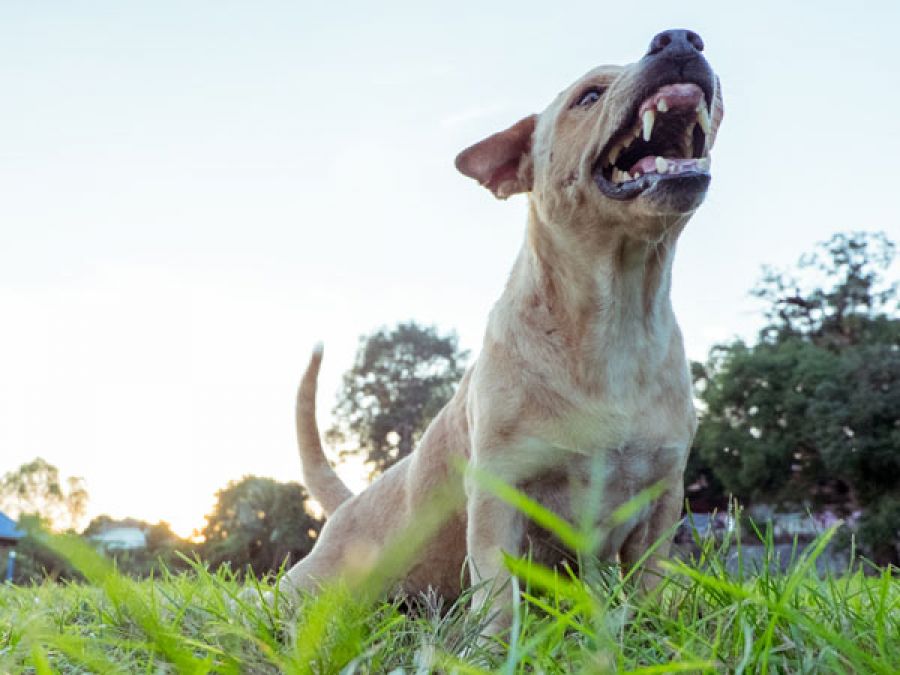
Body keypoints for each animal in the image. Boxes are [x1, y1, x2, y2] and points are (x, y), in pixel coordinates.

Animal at [282, 27, 724, 640]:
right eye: (589, 96)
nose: (679, 38)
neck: (617, 310)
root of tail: (348, 503)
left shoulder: (661, 498)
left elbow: (652, 579)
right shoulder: (499, 492)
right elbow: (496, 589)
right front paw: (493, 646)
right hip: (309, 588)